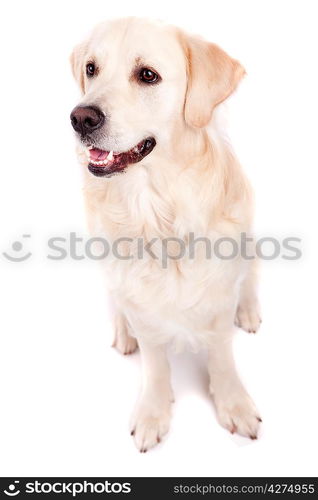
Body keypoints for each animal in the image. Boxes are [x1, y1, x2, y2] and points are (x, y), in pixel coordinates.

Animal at [71, 17, 262, 452]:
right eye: (91, 68)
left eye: (147, 75)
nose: (81, 118)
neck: (157, 211)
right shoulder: (142, 305)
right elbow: (155, 362)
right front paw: (153, 413)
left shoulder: (219, 296)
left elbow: (222, 354)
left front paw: (234, 404)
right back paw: (122, 332)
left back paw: (249, 310)